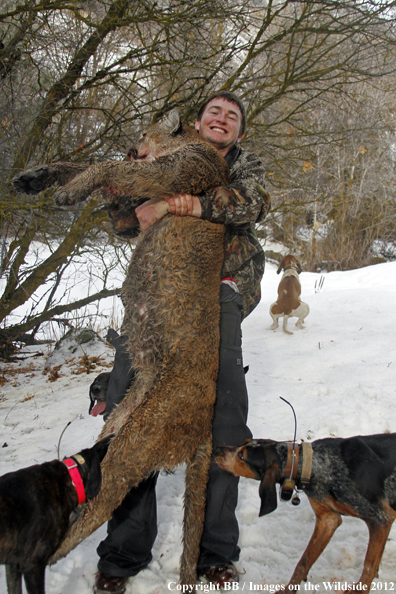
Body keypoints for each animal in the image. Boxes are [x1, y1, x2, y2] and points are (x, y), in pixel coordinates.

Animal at [215, 432, 396, 588]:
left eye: (242, 456)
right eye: (244, 442)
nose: (217, 448)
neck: (312, 463)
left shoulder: (380, 519)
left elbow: (369, 566)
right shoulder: (327, 520)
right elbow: (303, 562)